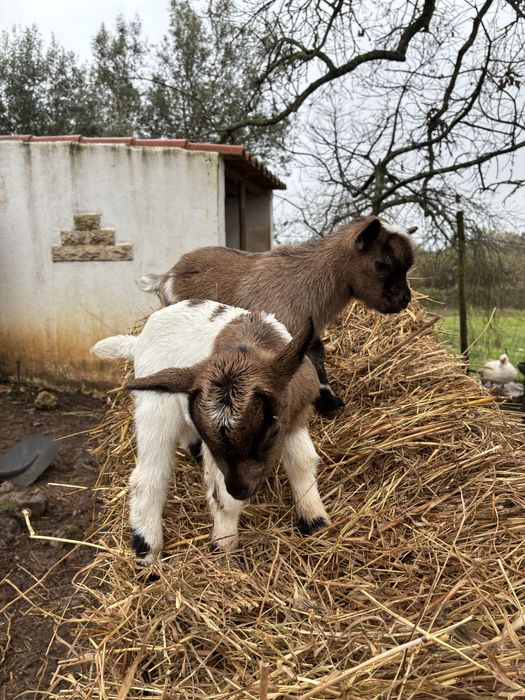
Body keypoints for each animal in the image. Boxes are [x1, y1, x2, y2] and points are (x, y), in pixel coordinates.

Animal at [91, 299, 329, 564]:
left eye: (271, 433)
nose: (240, 489)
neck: (250, 342)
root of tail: (137, 341)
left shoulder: (295, 415)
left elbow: (302, 462)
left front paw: (316, 521)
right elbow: (223, 498)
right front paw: (223, 548)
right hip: (155, 407)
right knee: (148, 476)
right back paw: (146, 549)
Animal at [137, 215, 416, 417]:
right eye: (381, 264)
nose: (404, 299)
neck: (306, 280)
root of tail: (166, 277)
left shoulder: (309, 332)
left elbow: (317, 358)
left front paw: (329, 400)